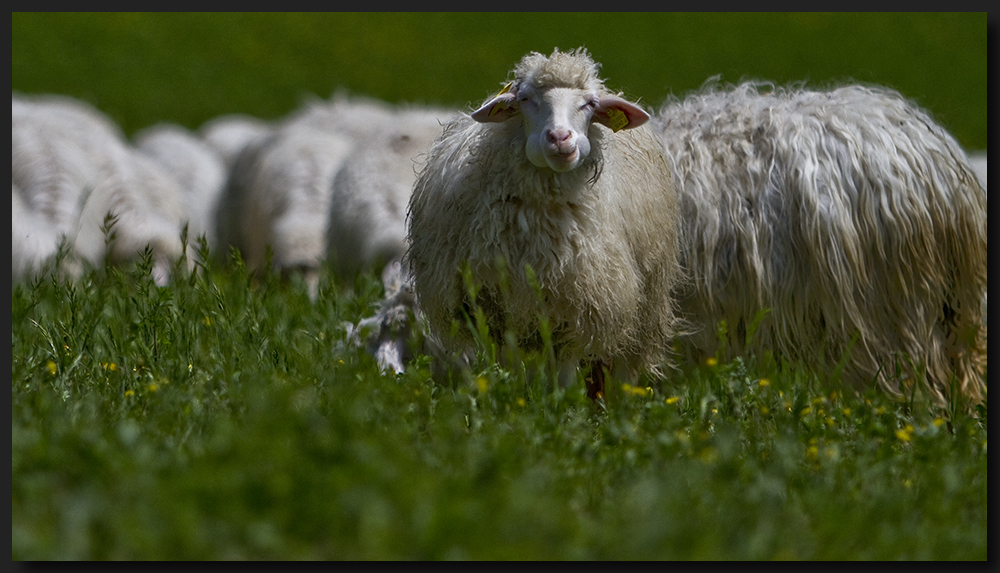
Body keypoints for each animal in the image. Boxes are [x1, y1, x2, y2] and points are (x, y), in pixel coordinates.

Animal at [404, 47, 680, 398]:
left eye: (589, 104)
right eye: (525, 99)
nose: (560, 137)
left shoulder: (580, 307)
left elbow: (565, 376)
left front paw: (561, 406)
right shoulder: (502, 311)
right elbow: (516, 371)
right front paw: (520, 401)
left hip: (638, 308)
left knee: (613, 367)